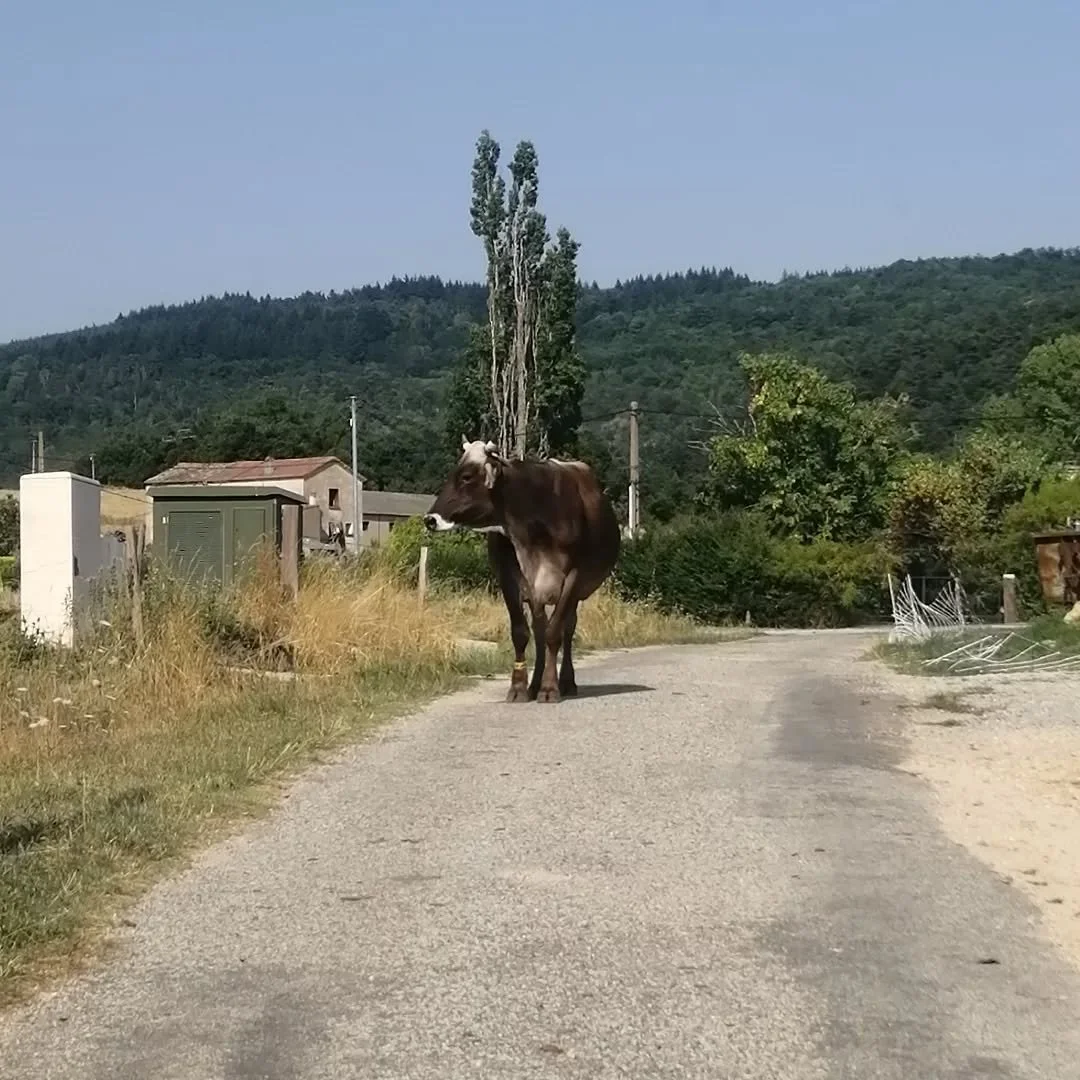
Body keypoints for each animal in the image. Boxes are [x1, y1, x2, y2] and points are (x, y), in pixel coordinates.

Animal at [424, 438, 621, 703]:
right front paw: (519, 687)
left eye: (466, 477)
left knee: (567, 629)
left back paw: (566, 682)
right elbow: (522, 633)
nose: (430, 519)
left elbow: (554, 633)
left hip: (575, 593)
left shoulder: (573, 576)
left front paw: (550, 689)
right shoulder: (508, 577)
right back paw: (534, 685)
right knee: (539, 632)